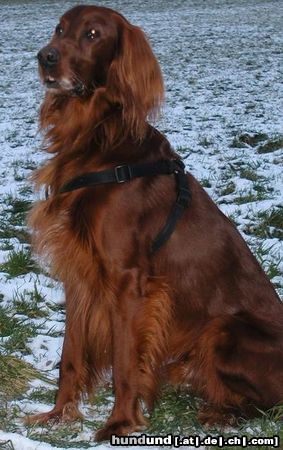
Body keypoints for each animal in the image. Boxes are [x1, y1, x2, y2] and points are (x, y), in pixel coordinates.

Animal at [27, 2, 283, 440]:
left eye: (92, 34)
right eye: (59, 29)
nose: (46, 57)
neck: (98, 139)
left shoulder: (129, 280)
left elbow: (126, 362)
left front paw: (119, 424)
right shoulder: (80, 274)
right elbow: (70, 356)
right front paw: (59, 415)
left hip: (223, 330)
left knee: (267, 405)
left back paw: (218, 413)